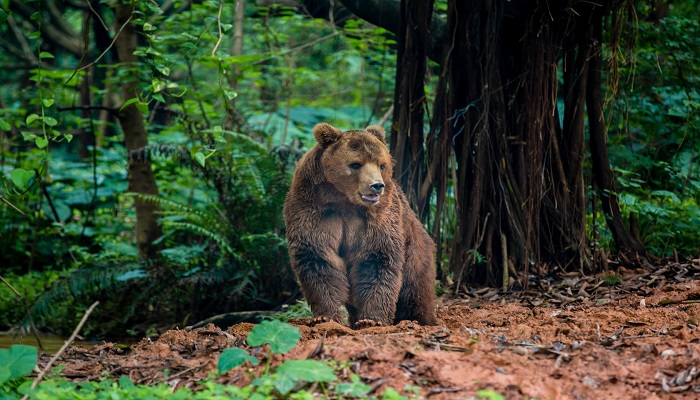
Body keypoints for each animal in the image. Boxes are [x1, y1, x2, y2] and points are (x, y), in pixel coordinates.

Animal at [284, 123, 438, 330]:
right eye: (356, 164)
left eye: (381, 164)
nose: (377, 185)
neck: (343, 199)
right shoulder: (312, 208)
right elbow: (317, 258)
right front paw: (324, 317)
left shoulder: (378, 215)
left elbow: (376, 259)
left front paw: (371, 319)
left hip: (416, 250)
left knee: (414, 289)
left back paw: (417, 319)